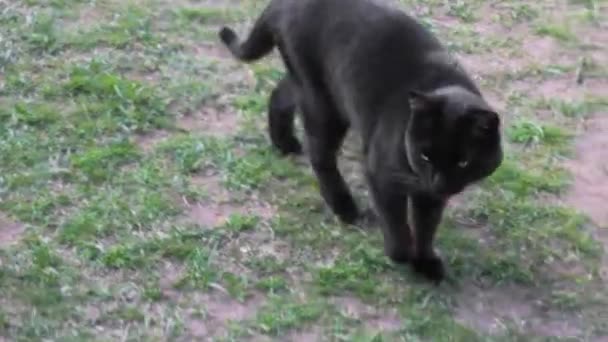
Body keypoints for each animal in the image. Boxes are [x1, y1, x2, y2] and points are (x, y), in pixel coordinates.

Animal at [218, 0, 504, 284]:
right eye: (425, 155)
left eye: (463, 161)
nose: (438, 182)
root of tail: (282, 4)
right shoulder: (382, 176)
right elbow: (397, 224)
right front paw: (401, 254)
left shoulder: (429, 196)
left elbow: (426, 227)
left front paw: (425, 263)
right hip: (324, 106)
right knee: (320, 156)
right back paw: (346, 209)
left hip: (312, 89)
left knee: (279, 95)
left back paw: (284, 144)